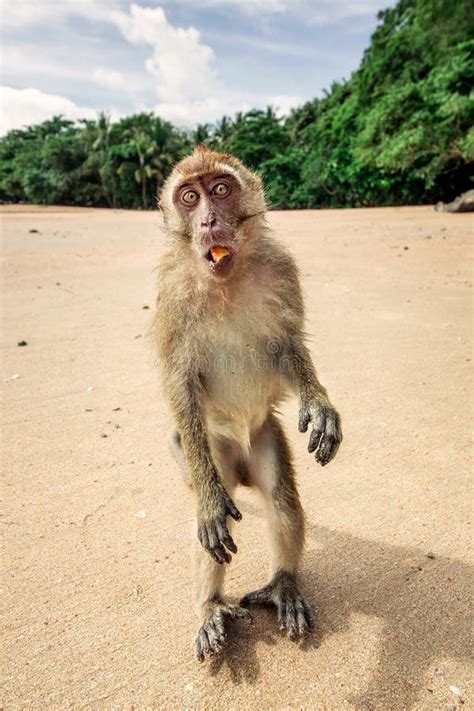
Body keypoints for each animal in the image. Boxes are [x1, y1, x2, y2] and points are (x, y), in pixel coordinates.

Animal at [152, 145, 340, 660]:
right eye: (189, 197)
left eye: (220, 189)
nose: (207, 221)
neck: (225, 279)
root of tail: (236, 468)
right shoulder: (171, 293)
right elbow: (181, 383)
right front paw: (210, 508)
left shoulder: (281, 269)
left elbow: (286, 346)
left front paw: (320, 405)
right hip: (215, 451)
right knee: (212, 521)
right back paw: (211, 606)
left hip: (263, 437)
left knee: (280, 500)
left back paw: (283, 584)